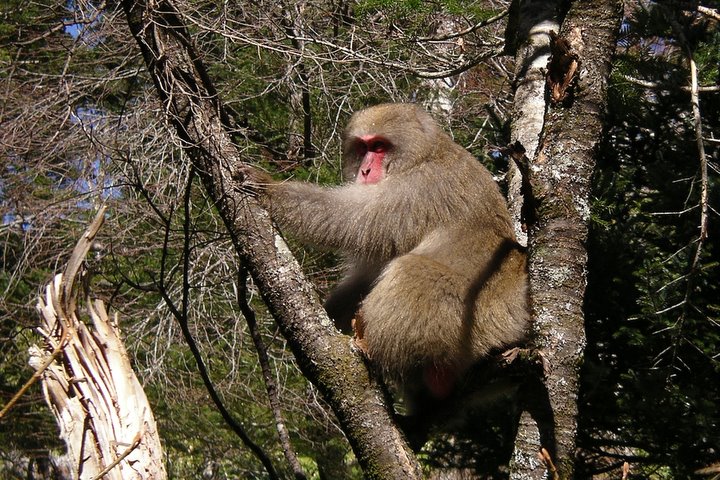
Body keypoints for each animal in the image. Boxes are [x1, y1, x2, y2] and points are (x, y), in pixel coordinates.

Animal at [248, 104, 528, 404]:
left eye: (379, 146)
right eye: (362, 147)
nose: (365, 170)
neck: (423, 156)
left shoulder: (420, 187)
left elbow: (352, 218)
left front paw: (270, 190)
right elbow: (364, 275)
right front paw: (329, 312)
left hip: (478, 319)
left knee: (411, 271)